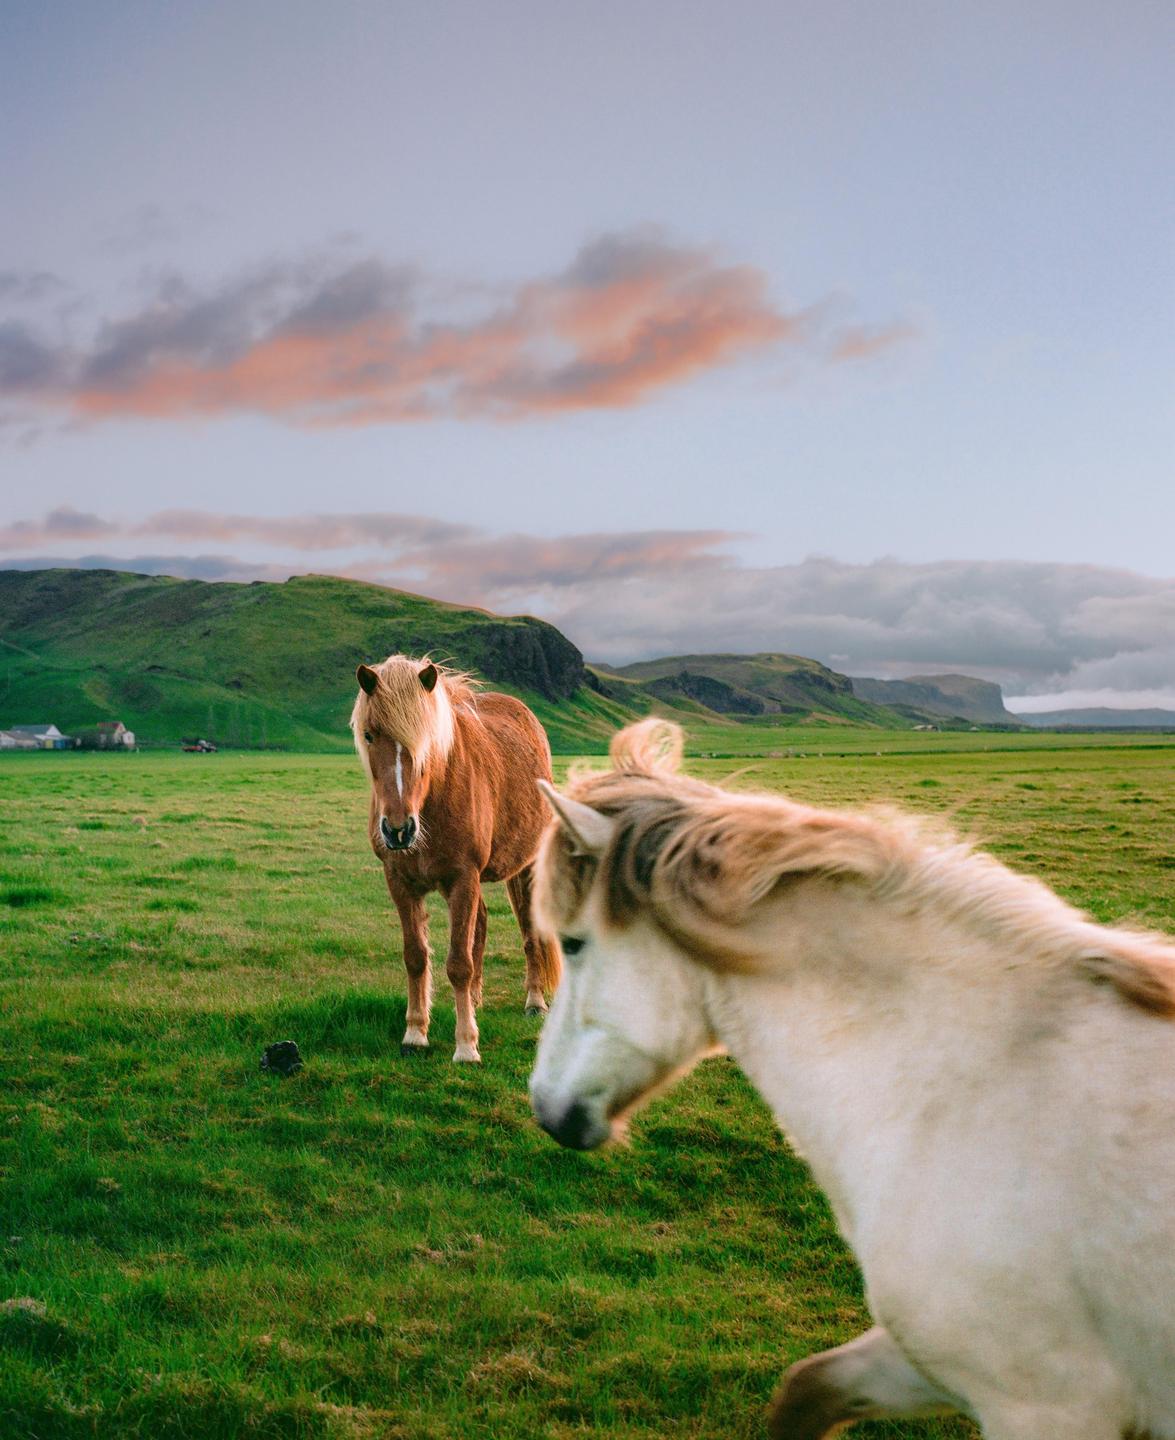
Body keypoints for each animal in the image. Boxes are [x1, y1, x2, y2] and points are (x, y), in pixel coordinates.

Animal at [351, 654, 560, 1062]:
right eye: (369, 735)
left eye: (427, 738)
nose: (398, 830)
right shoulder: (400, 882)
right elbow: (416, 956)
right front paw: (415, 1033)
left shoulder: (464, 878)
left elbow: (459, 963)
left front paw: (466, 1045)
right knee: (481, 925)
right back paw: (476, 1001)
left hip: (525, 867)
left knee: (530, 933)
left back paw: (534, 1001)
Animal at [528, 718, 1175, 1439]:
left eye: (574, 943)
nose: (544, 1107)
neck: (972, 1081)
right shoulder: (925, 1359)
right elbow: (806, 1389)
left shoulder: (1042, 1404)